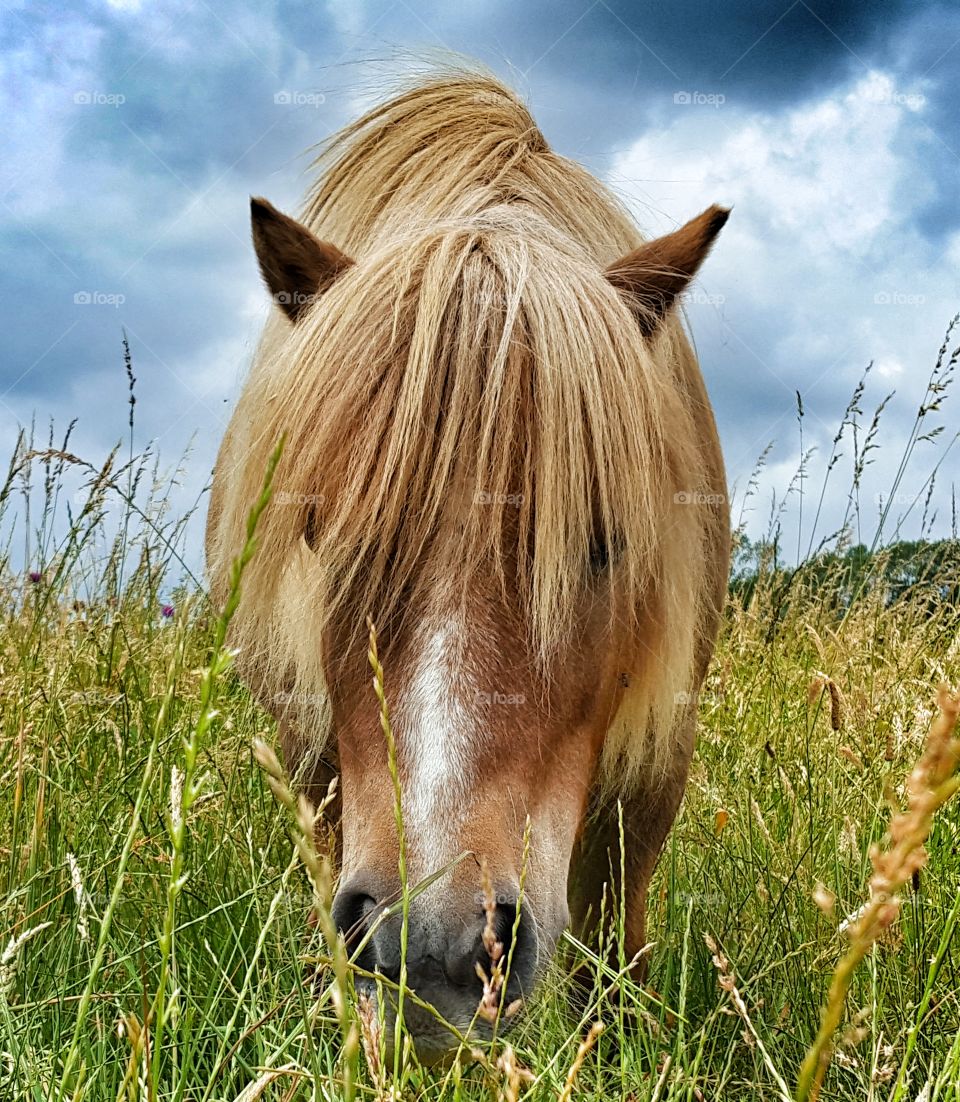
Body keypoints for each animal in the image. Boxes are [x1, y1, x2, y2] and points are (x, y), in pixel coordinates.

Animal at [206, 66, 731, 1057]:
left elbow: (616, 928)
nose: (428, 948)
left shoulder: (658, 750)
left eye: (604, 542)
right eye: (319, 529)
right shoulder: (320, 757)